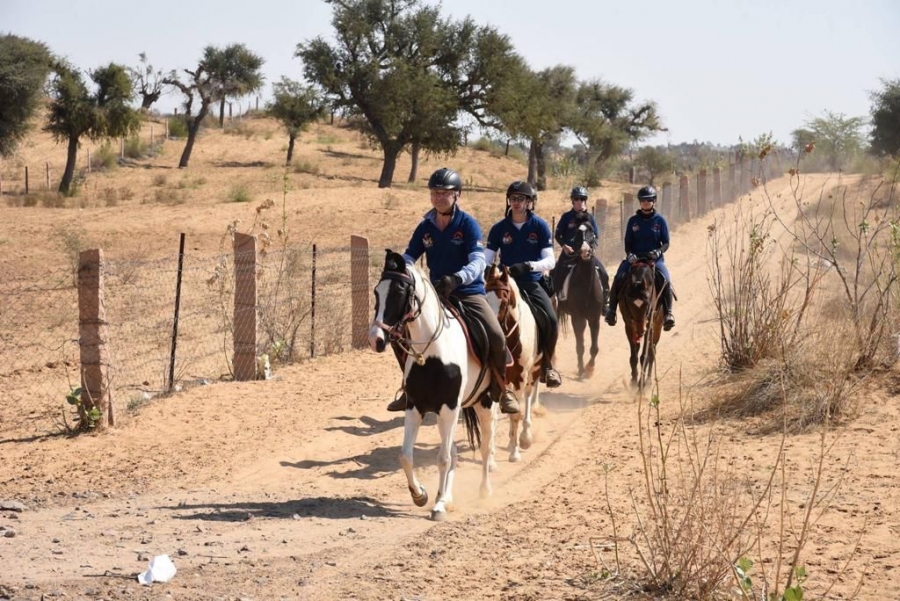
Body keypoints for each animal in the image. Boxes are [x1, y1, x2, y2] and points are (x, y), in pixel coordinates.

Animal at [366, 248, 496, 520]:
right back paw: (445, 495)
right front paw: (421, 495)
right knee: (455, 451)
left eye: (399, 292)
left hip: (485, 403)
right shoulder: (415, 407)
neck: (433, 353)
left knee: (486, 447)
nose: (375, 339)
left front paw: (438, 506)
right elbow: (406, 456)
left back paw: (484, 489)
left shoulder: (449, 408)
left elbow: (444, 458)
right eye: (376, 292)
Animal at [486, 260, 540, 462]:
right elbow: (493, 417)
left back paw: (524, 437)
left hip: (533, 372)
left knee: (528, 396)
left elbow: (516, 414)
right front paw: (491, 455)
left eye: (503, 301)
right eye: (484, 298)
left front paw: (515, 453)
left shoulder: (519, 377)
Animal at [552, 223, 600, 378]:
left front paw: (590, 368)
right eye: (577, 235)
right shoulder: (578, 318)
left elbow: (594, 347)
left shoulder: (594, 317)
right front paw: (581, 370)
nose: (585, 252)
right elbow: (580, 346)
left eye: (591, 233)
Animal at [624, 255, 664, 386]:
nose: (640, 329)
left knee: (652, 352)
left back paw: (649, 382)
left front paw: (640, 384)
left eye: (647, 304)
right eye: (629, 303)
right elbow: (634, 356)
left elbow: (644, 357)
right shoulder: (629, 326)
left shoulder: (649, 327)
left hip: (657, 327)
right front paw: (633, 382)